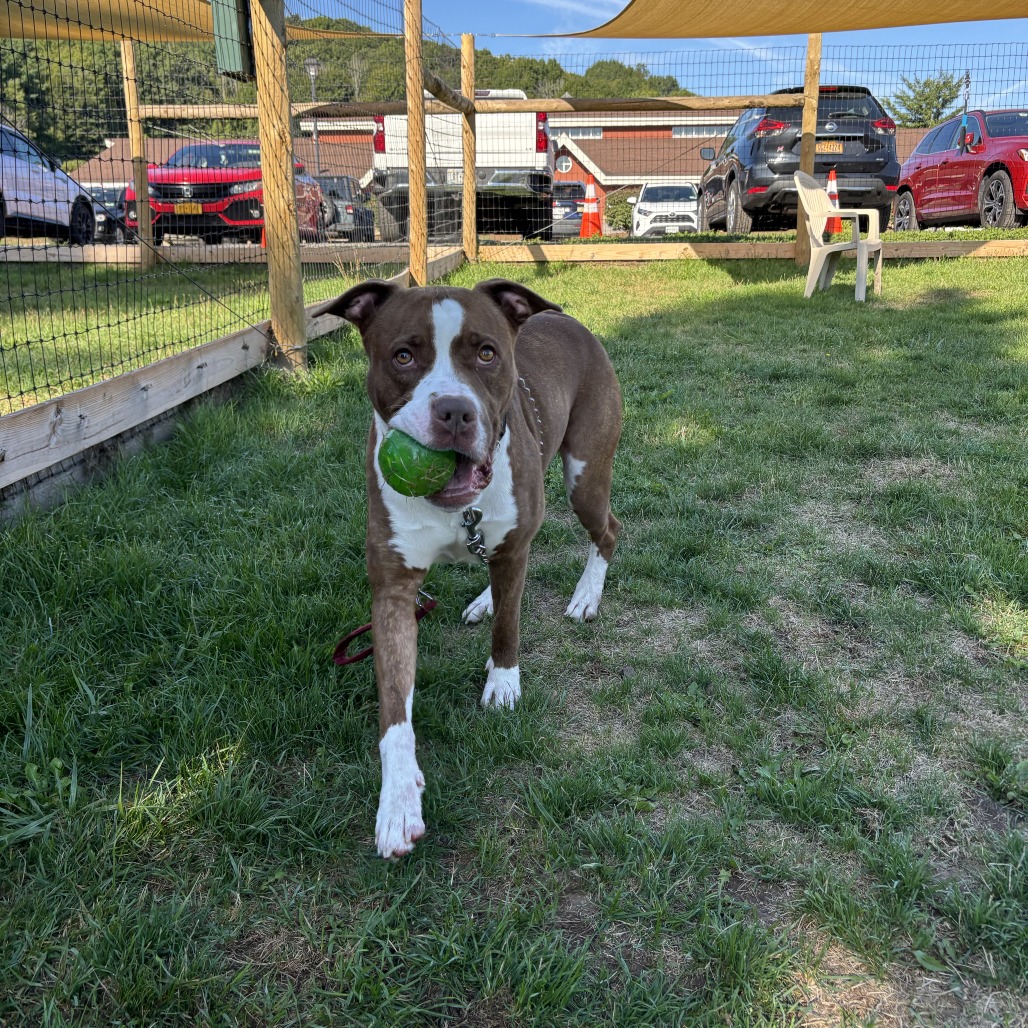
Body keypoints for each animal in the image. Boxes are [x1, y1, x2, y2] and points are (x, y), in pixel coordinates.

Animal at [323, 278, 622, 858]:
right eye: (403, 355)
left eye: (487, 353)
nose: (455, 411)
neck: (456, 507)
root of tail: (567, 320)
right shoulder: (393, 593)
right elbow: (394, 712)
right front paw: (398, 800)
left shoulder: (511, 547)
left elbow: (510, 627)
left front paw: (503, 684)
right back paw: (487, 597)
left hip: (586, 478)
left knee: (607, 532)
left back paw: (585, 596)